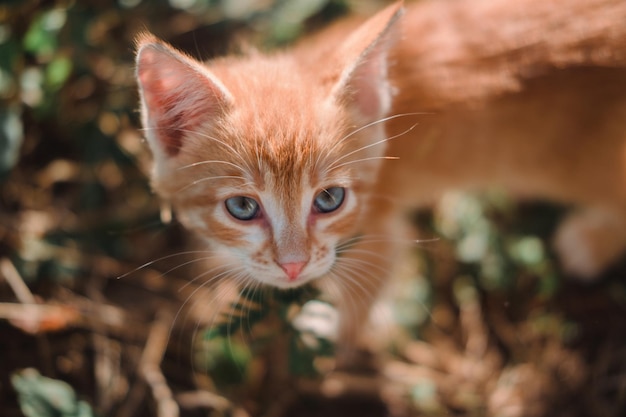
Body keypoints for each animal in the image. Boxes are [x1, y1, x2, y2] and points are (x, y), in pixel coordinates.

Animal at [135, 0, 624, 348]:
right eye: (241, 206)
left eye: (329, 199)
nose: (293, 267)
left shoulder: (380, 228)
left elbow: (366, 286)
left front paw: (330, 328)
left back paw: (591, 240)